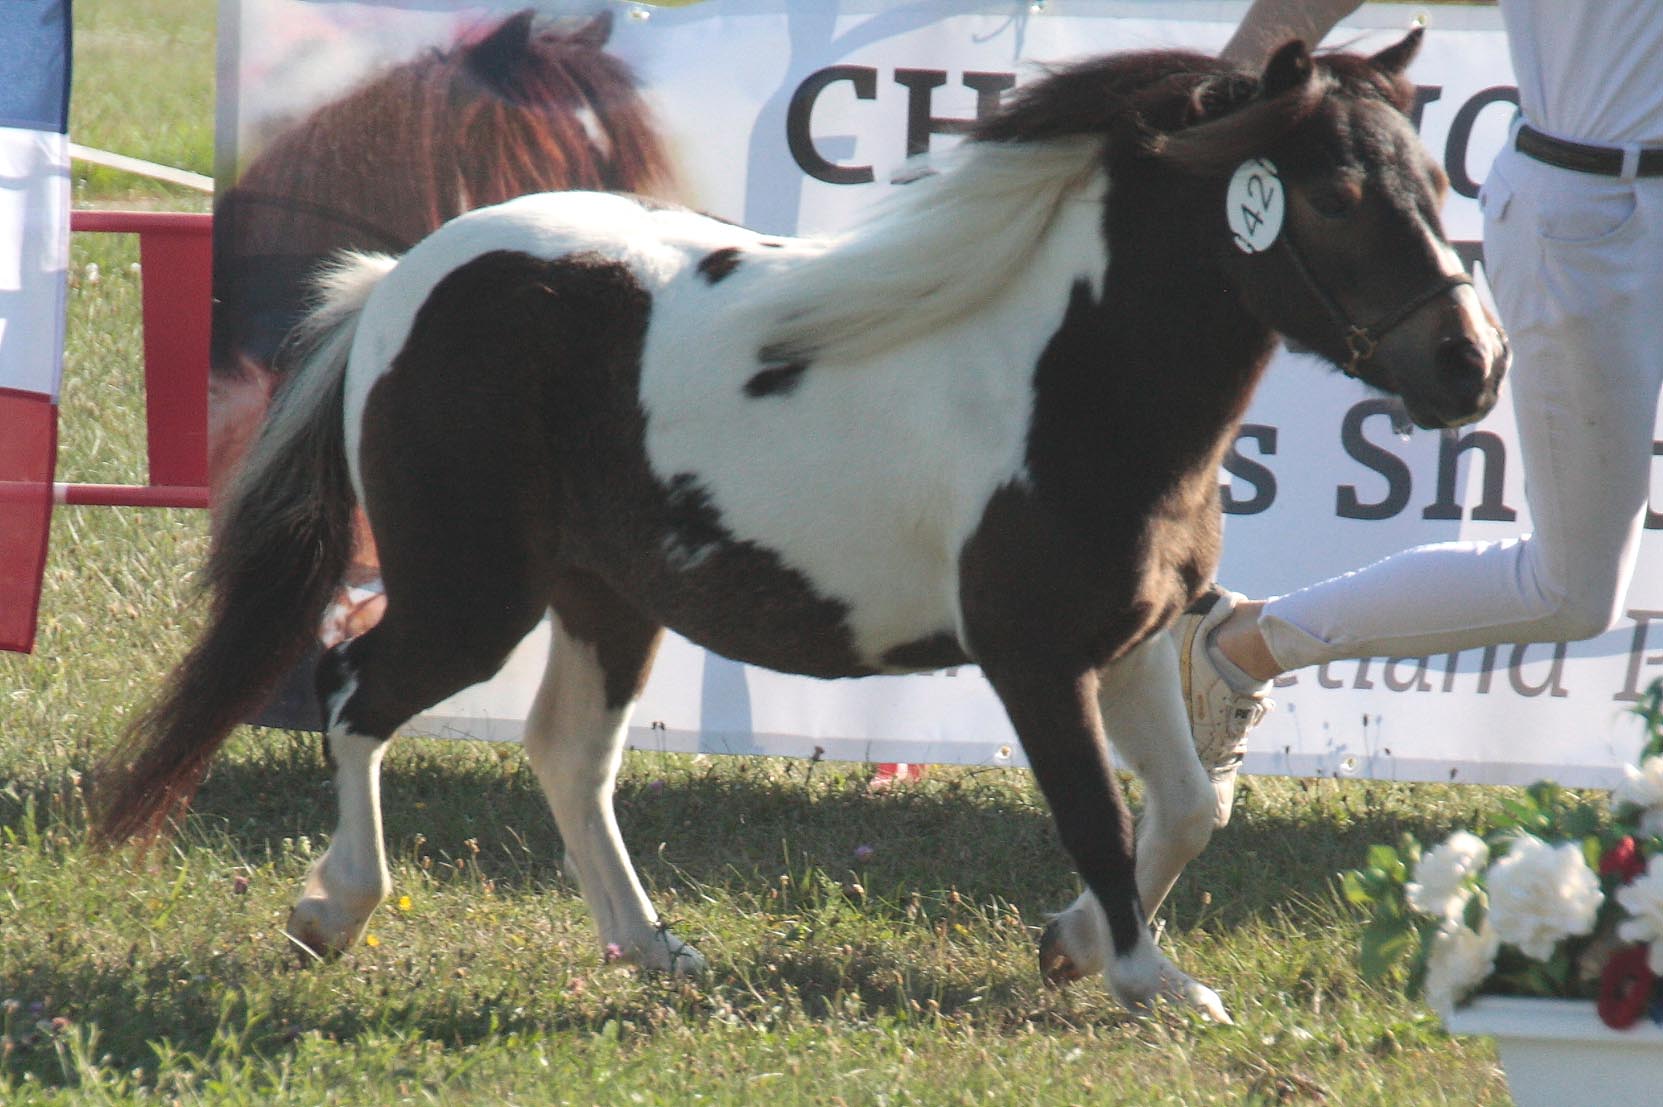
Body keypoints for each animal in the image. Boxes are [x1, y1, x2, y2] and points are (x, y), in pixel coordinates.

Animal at [95, 29, 1507, 1021]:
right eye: (1332, 194)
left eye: (1435, 181)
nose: (1471, 365)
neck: (1072, 385)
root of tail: (400, 282)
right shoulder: (1035, 657)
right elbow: (1101, 815)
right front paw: (1149, 982)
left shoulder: (1136, 640)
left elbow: (1188, 807)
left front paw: (1074, 948)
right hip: (470, 594)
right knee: (352, 691)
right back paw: (333, 913)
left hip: (607, 598)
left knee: (565, 752)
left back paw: (654, 950)